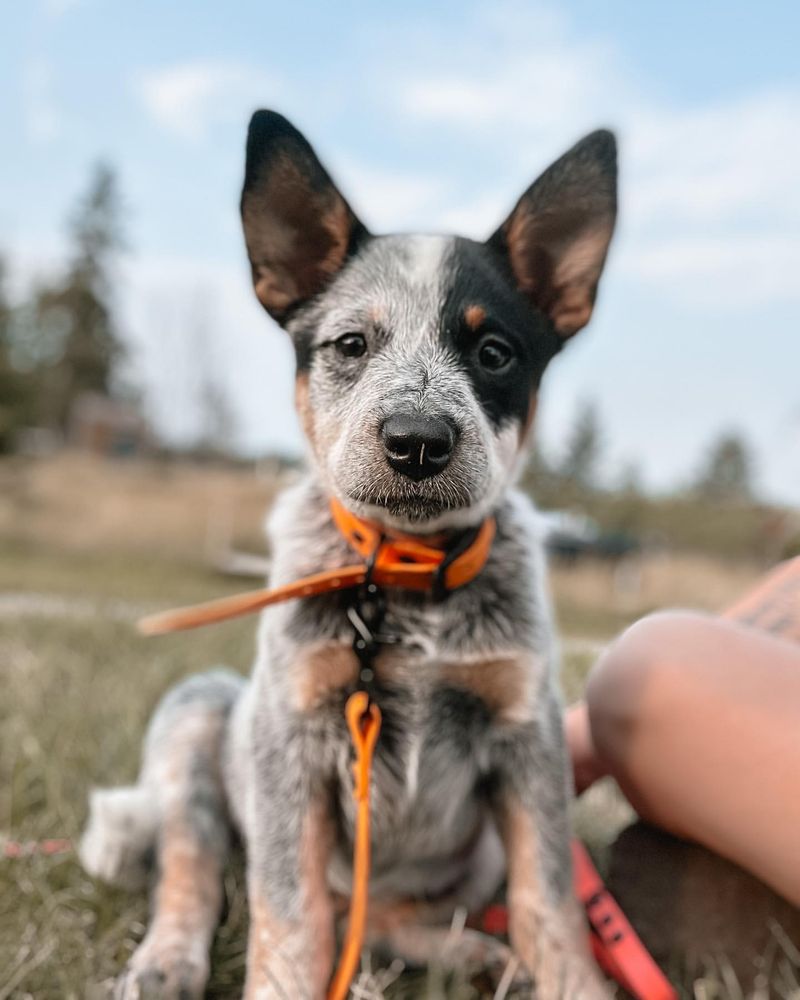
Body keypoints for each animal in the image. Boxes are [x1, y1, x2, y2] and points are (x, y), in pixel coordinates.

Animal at [81, 111, 620, 1000]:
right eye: (351, 342)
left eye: (495, 352)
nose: (418, 440)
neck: (406, 578)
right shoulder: (291, 734)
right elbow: (290, 912)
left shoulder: (526, 730)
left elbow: (548, 896)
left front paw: (571, 982)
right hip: (200, 715)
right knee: (199, 871)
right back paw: (165, 962)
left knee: (381, 925)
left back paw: (471, 953)